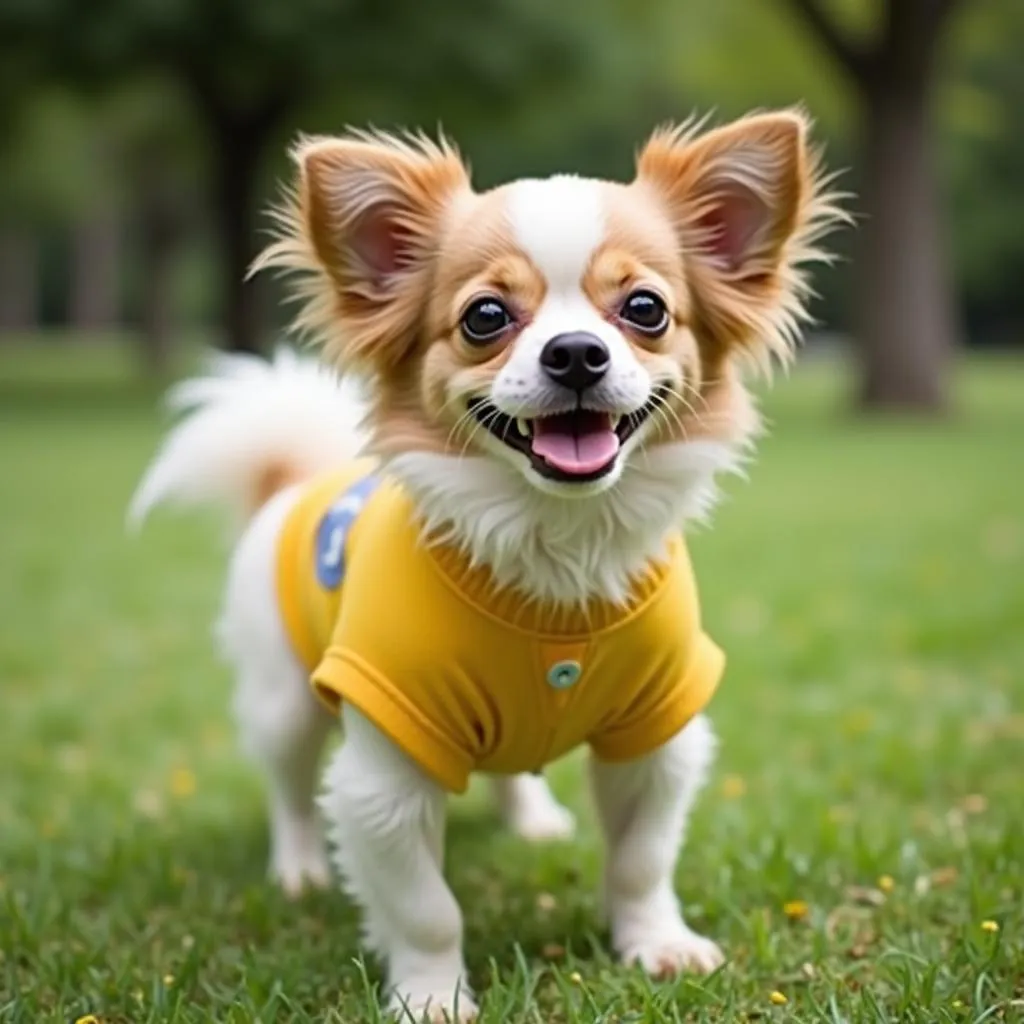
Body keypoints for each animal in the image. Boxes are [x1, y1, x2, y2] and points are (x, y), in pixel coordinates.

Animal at [130, 108, 839, 1019]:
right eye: (485, 317)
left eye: (645, 309)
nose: (575, 353)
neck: (556, 551)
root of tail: (294, 478)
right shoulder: (383, 776)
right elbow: (424, 906)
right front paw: (432, 995)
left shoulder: (658, 736)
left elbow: (641, 861)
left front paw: (657, 945)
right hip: (284, 695)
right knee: (288, 786)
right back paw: (299, 871)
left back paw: (531, 819)